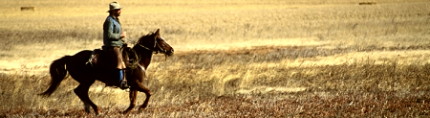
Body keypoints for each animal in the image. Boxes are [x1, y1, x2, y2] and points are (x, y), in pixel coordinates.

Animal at [39, 29, 174, 115]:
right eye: (161, 40)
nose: (171, 50)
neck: (138, 59)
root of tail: (71, 57)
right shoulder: (136, 83)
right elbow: (149, 92)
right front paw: (142, 107)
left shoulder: (134, 85)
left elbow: (133, 100)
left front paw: (126, 111)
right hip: (88, 80)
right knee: (80, 92)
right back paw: (96, 109)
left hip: (87, 81)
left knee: (81, 93)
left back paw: (89, 109)